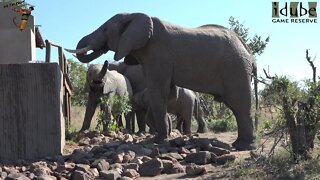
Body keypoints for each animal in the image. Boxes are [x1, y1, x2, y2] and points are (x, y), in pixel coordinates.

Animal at [65, 13, 258, 150]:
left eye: (105, 29)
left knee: (239, 104)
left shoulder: (158, 54)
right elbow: (167, 92)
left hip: (235, 68)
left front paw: (158, 140)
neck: (135, 16)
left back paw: (244, 147)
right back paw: (239, 144)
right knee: (236, 107)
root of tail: (247, 50)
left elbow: (158, 91)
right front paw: (159, 137)